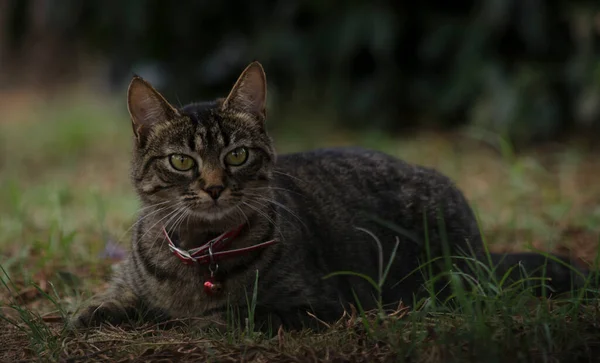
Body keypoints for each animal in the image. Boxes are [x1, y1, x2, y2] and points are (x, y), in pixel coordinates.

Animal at [69, 61, 584, 332]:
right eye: (181, 161)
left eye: (237, 155)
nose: (215, 187)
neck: (200, 250)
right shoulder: (126, 281)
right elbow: (105, 301)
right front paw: (91, 310)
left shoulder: (316, 304)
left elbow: (231, 314)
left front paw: (190, 318)